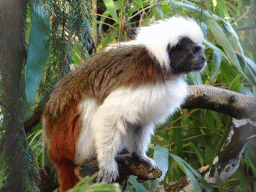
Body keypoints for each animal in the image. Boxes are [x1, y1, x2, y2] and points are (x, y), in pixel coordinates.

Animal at [42, 16, 206, 192]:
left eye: (201, 50)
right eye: (195, 51)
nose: (204, 59)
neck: (161, 64)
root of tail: (54, 153)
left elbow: (141, 122)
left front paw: (139, 156)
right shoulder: (142, 82)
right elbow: (109, 114)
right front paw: (107, 163)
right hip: (68, 143)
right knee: (90, 104)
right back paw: (90, 157)